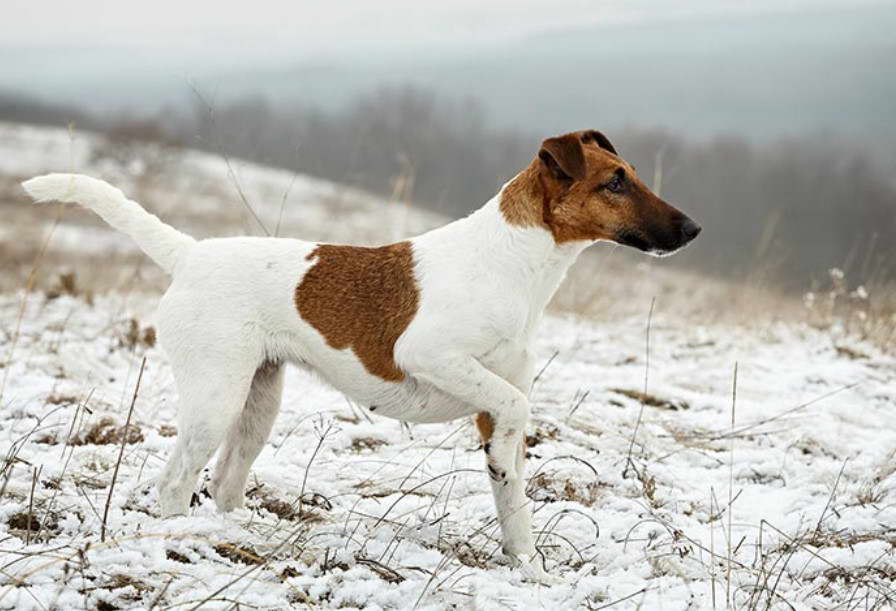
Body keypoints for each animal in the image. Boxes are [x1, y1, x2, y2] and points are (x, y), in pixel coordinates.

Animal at [22, 130, 700, 584]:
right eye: (615, 182)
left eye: (630, 174)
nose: (693, 229)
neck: (512, 261)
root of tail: (191, 254)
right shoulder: (432, 356)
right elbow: (513, 407)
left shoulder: (489, 400)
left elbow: (514, 503)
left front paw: (528, 570)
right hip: (215, 399)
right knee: (175, 480)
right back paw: (186, 540)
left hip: (258, 401)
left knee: (225, 481)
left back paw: (238, 536)